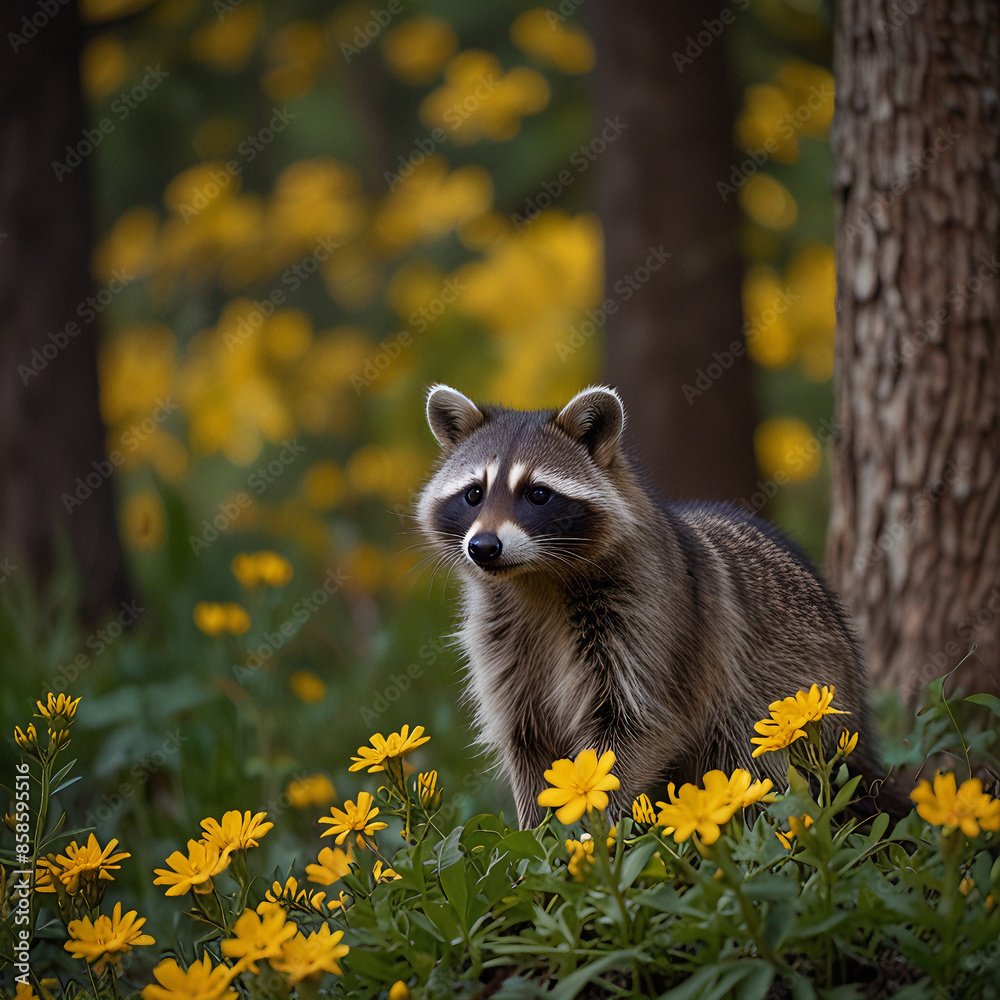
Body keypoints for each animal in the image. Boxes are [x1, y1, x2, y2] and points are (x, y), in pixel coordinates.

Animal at [417, 384, 888, 828]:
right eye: (474, 494)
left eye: (537, 494)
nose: (483, 547)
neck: (537, 580)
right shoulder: (500, 642)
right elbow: (529, 742)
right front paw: (540, 833)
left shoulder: (651, 622)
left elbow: (640, 727)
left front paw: (594, 828)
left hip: (792, 701)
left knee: (749, 763)